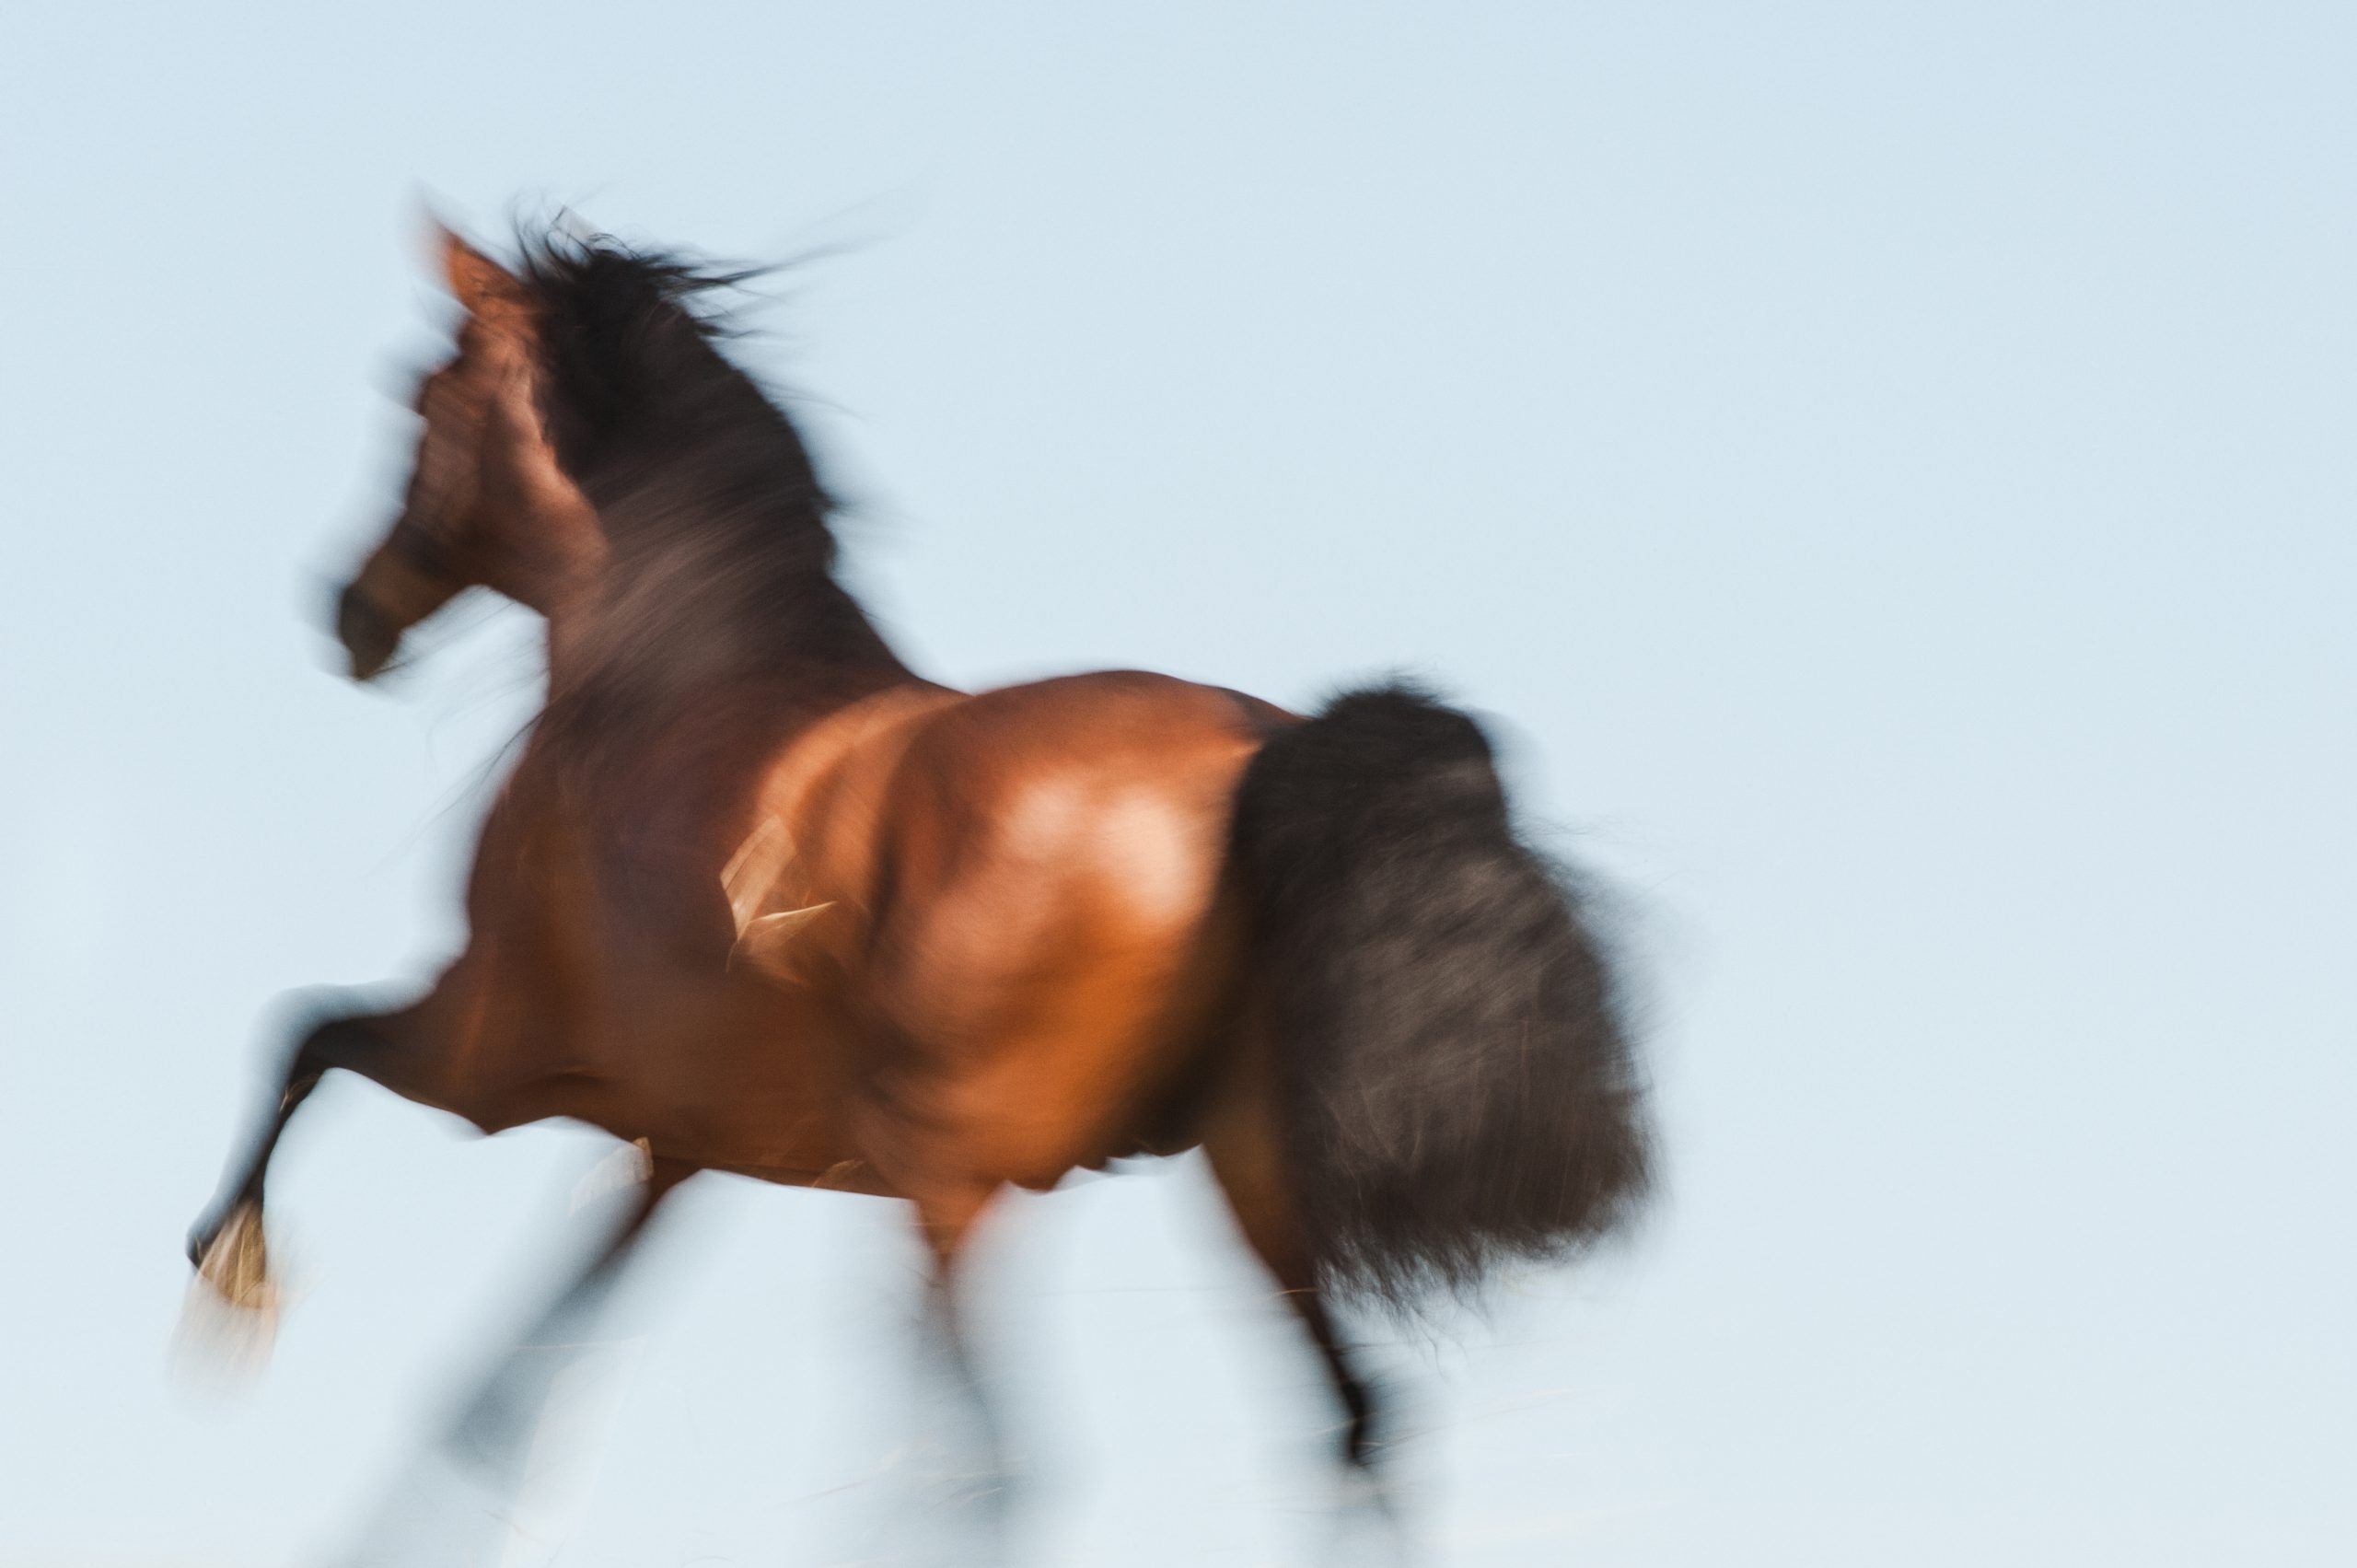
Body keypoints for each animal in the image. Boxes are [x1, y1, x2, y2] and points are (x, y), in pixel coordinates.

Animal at [183, 220, 1650, 1508]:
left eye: (420, 394)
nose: (348, 615)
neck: (671, 674)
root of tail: (1259, 749)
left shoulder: (491, 1054)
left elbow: (302, 1036)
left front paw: (229, 1276)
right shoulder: (673, 1148)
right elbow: (501, 1393)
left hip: (958, 1184)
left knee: (998, 1469)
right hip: (1245, 1172)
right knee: (1353, 1426)